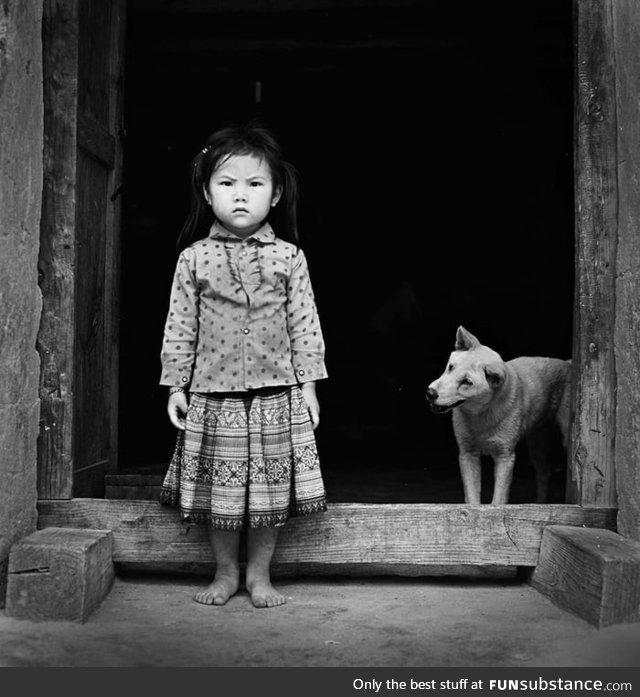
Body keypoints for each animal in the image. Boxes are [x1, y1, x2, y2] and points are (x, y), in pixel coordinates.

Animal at [424, 326, 568, 506]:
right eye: (450, 367)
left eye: (467, 382)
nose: (430, 393)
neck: (480, 417)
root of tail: (568, 363)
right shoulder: (467, 453)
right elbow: (472, 497)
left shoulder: (504, 456)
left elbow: (498, 500)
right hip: (537, 443)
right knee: (543, 474)